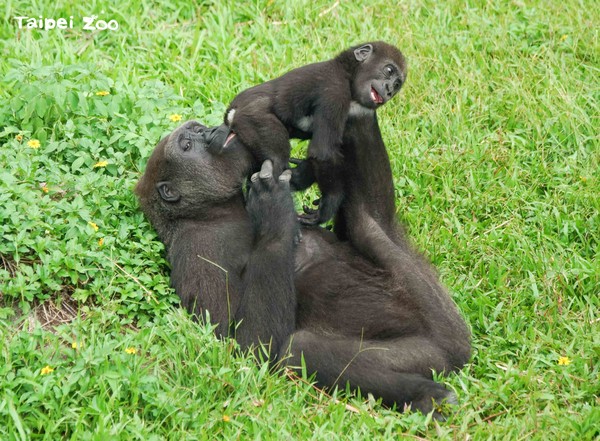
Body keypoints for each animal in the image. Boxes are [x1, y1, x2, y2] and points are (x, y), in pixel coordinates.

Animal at [135, 117, 468, 412]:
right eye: (187, 144)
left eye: (197, 130)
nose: (206, 130)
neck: (211, 212)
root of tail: (458, 353)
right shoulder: (200, 252)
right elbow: (248, 350)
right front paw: (274, 212)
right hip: (433, 354)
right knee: (300, 349)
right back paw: (424, 395)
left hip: (441, 312)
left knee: (369, 221)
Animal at [225, 41, 408, 225]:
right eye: (389, 70)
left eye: (397, 85)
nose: (389, 90)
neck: (346, 71)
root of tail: (232, 111)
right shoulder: (335, 90)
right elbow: (322, 152)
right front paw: (329, 204)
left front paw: (302, 176)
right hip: (253, 118)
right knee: (277, 158)